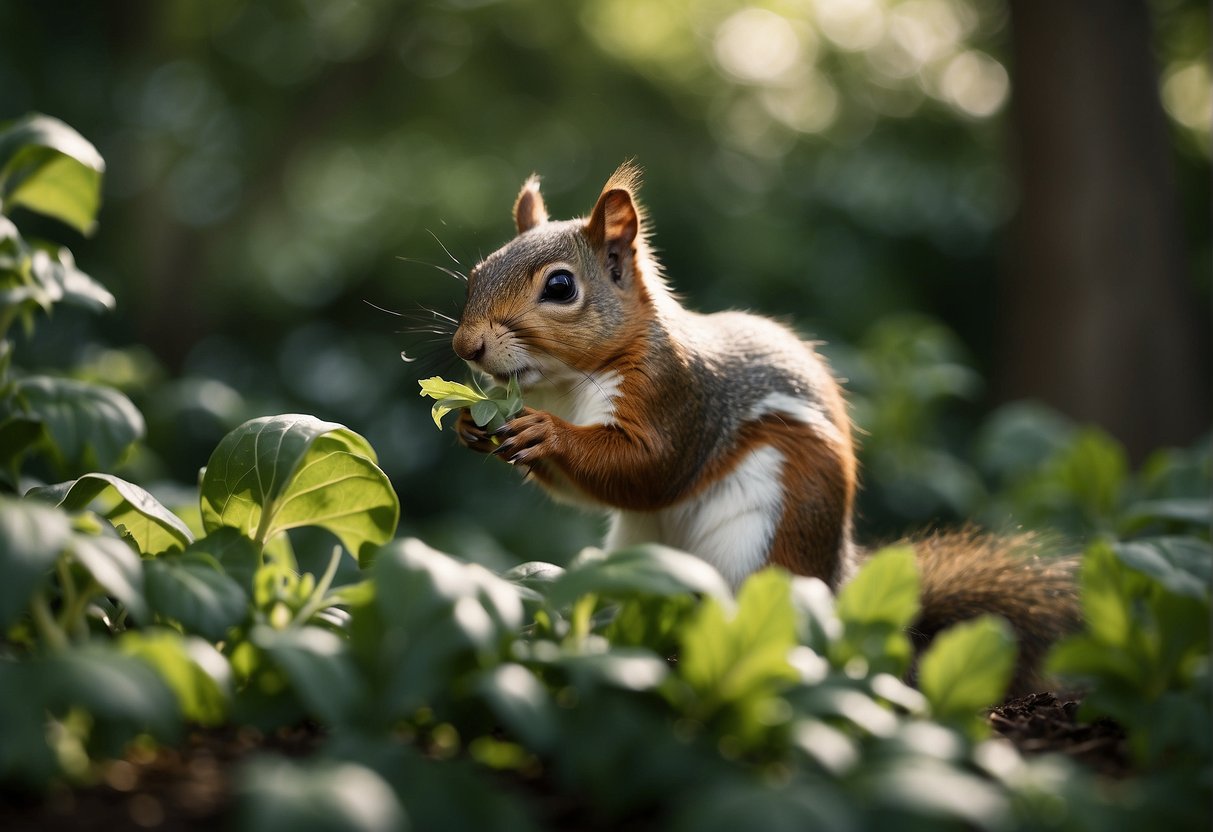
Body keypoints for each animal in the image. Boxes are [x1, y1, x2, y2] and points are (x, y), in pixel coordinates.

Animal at [450, 162, 1078, 696]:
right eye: (476, 275)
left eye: (560, 288)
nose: (465, 346)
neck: (569, 385)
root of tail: (836, 581)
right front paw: (467, 424)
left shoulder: (678, 399)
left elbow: (647, 469)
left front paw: (547, 434)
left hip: (764, 544)